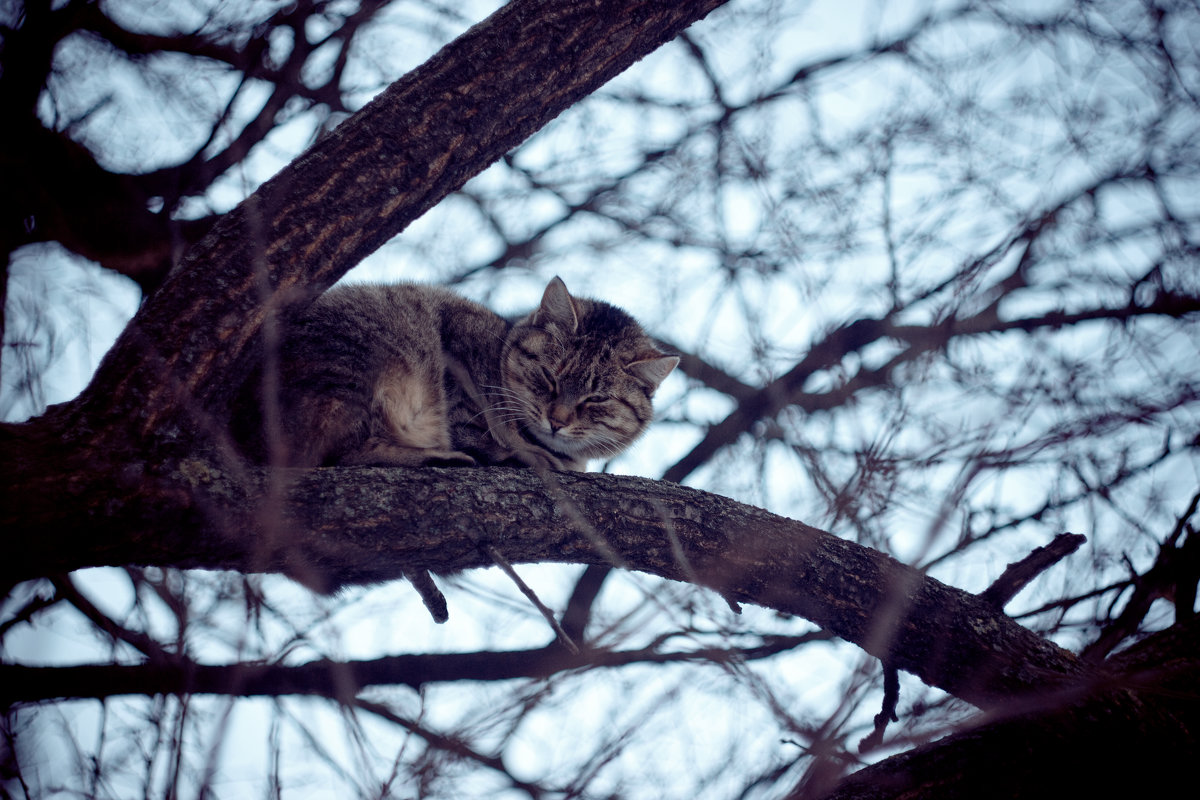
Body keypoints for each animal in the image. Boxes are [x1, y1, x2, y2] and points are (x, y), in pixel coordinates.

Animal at [246, 278, 676, 472]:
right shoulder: (457, 347)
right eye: (549, 376)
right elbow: (479, 425)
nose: (557, 421)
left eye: (596, 398)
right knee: (338, 451)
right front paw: (520, 448)